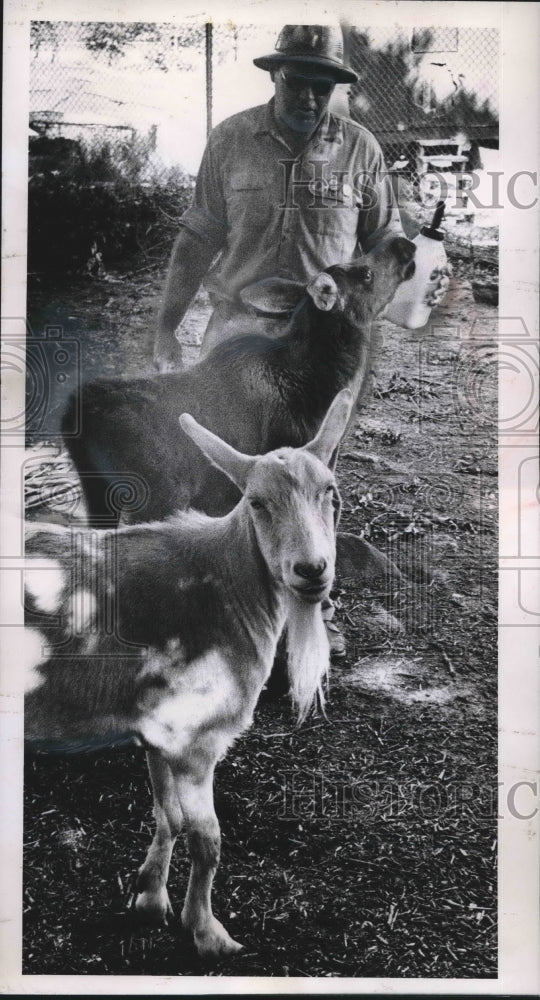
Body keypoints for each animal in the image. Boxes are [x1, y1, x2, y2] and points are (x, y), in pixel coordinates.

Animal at [24, 386, 354, 956]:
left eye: (329, 492)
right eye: (257, 502)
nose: (311, 570)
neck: (224, 589)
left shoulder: (159, 732)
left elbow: (169, 816)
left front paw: (150, 898)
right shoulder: (195, 736)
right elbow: (209, 840)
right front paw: (207, 932)